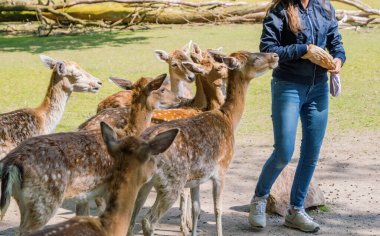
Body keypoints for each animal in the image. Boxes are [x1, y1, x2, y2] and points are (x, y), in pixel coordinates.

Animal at [127, 49, 280, 236]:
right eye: (255, 57)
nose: (275, 56)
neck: (229, 119)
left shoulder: (196, 179)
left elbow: (196, 209)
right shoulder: (222, 169)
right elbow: (218, 209)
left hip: (147, 183)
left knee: (131, 217)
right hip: (172, 182)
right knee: (147, 220)